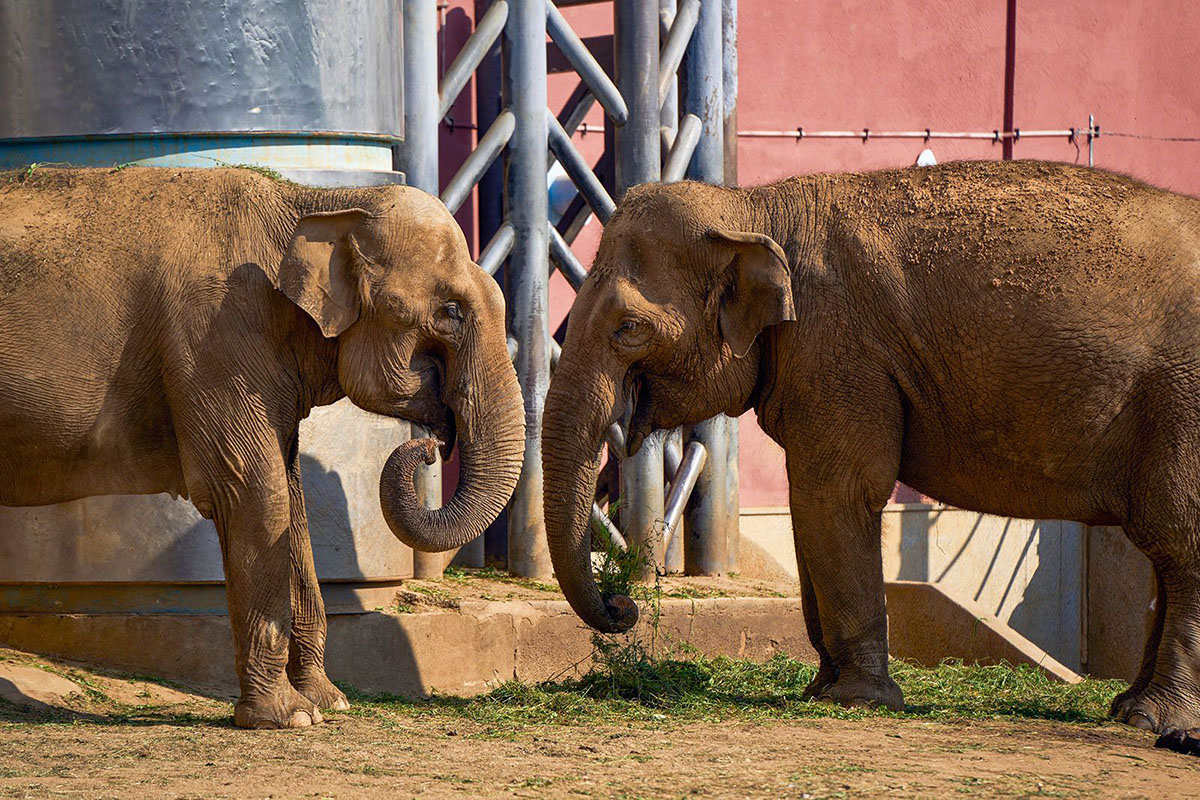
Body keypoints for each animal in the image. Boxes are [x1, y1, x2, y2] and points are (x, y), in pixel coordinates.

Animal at [0, 165, 525, 729]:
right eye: (451, 311)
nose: (429, 447)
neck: (315, 203)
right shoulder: (216, 337)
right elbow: (256, 494)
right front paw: (288, 718)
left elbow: (292, 503)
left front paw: (328, 703)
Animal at [544, 160, 1200, 753]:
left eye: (628, 328)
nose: (624, 604)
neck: (752, 207)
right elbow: (810, 504)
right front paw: (818, 690)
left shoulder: (839, 346)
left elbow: (840, 493)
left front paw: (855, 700)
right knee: (1165, 549)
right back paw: (1128, 709)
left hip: (1181, 403)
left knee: (1177, 537)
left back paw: (1153, 719)